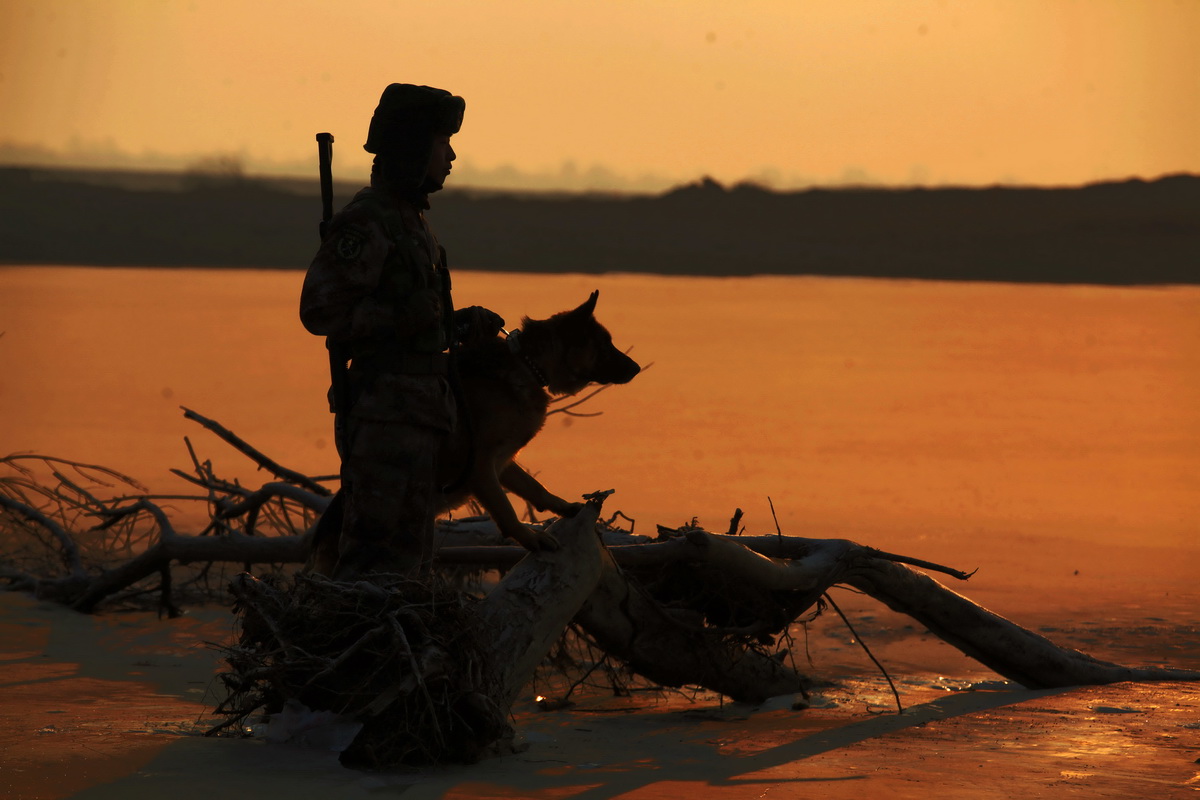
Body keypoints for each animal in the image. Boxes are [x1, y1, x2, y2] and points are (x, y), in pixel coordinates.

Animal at [314, 291, 643, 573]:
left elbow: (534, 487)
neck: (527, 364)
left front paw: (562, 507)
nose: (637, 368)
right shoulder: (481, 465)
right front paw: (531, 539)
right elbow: (505, 509)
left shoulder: (503, 461)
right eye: (605, 345)